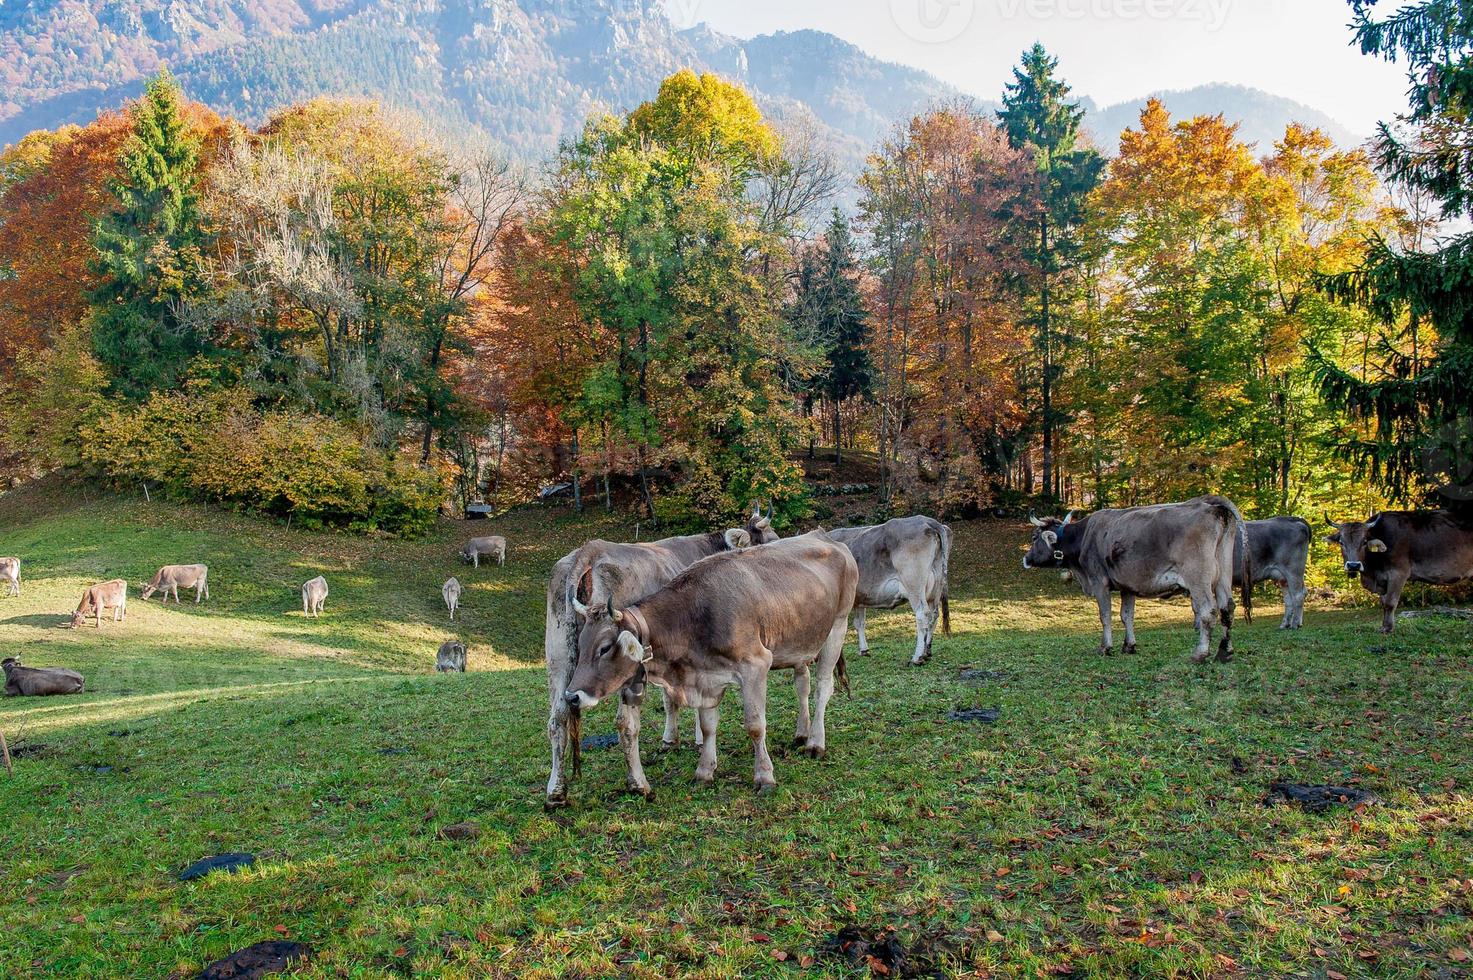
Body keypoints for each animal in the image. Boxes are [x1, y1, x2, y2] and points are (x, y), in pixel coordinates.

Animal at [545, 504, 783, 801]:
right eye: (771, 540)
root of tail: (589, 550)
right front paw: (697, 739)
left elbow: (670, 698)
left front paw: (671, 740)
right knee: (625, 723)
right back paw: (638, 783)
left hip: (558, 657)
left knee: (558, 718)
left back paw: (555, 792)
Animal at [565, 527, 860, 795]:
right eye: (581, 644)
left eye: (604, 648)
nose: (571, 697)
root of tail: (822, 535)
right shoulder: (705, 677)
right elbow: (707, 727)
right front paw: (704, 772)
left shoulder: (755, 665)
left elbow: (755, 725)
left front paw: (764, 776)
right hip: (799, 640)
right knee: (802, 684)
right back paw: (802, 733)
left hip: (837, 626)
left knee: (822, 687)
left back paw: (815, 743)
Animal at [830, 512, 954, 666]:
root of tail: (928, 520)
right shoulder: (860, 597)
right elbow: (859, 622)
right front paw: (864, 650)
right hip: (936, 587)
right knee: (934, 614)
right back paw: (927, 652)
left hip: (914, 583)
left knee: (922, 614)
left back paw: (917, 657)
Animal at [1025, 498, 1254, 666]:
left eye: (1035, 537)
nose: (1025, 559)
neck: (1083, 537)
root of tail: (1213, 508)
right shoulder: (1128, 585)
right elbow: (1127, 616)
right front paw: (1129, 646)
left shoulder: (1099, 583)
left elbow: (1105, 616)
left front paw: (1105, 647)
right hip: (1223, 574)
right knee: (1227, 608)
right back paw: (1225, 651)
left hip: (1198, 577)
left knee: (1208, 611)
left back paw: (1200, 653)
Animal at [1325, 506, 1473, 630]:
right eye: (1341, 542)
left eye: (1364, 542)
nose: (1353, 565)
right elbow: (1384, 603)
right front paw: (1384, 626)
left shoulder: (1398, 573)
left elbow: (1390, 603)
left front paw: (1388, 628)